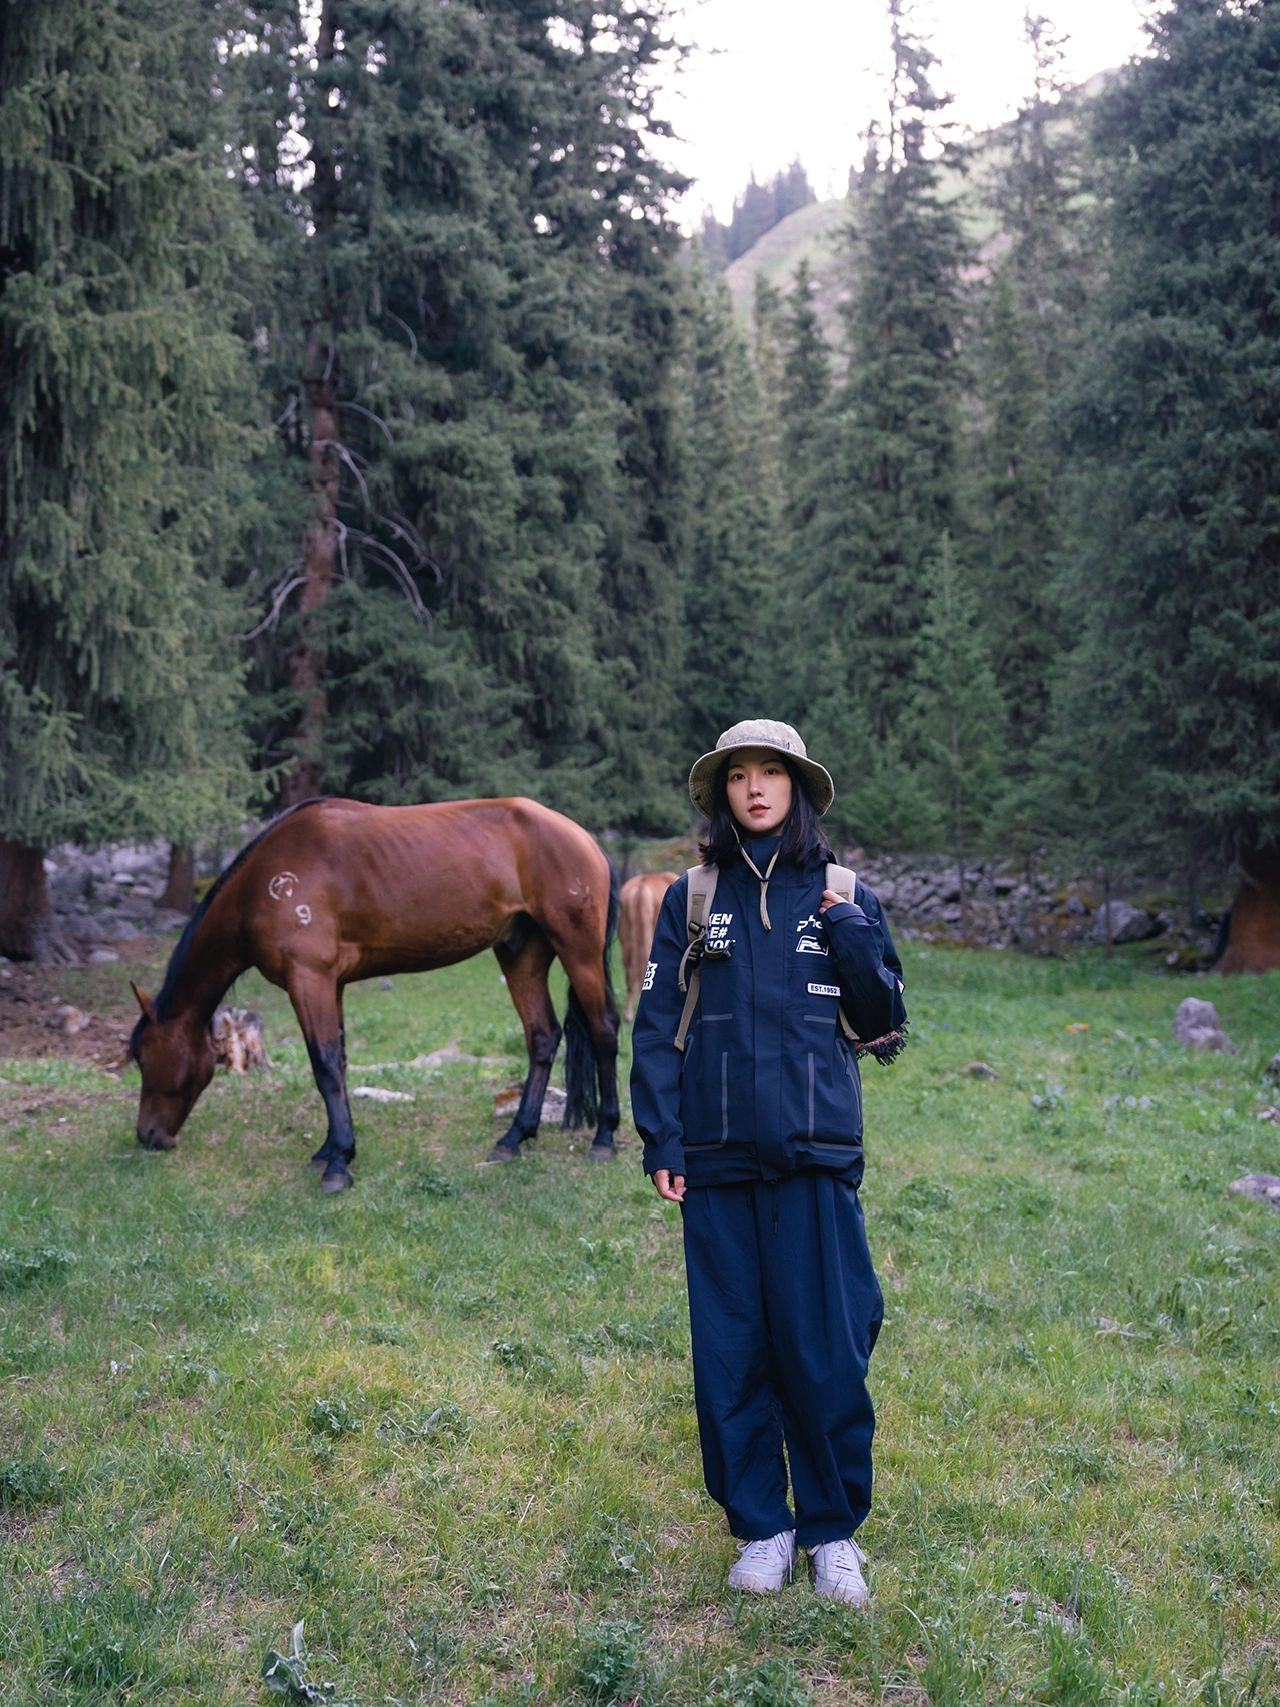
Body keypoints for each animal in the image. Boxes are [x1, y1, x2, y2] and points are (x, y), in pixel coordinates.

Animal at [128, 795, 621, 1188]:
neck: (266, 883)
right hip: (521, 953)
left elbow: (325, 1067)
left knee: (603, 1032)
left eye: (143, 1056)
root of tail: (586, 840)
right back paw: (514, 1138)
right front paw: (330, 1149)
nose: (148, 1136)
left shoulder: (309, 980)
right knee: (543, 1036)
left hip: (576, 948)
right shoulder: (331, 985)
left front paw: (338, 1166)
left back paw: (604, 1138)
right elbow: (339, 1064)